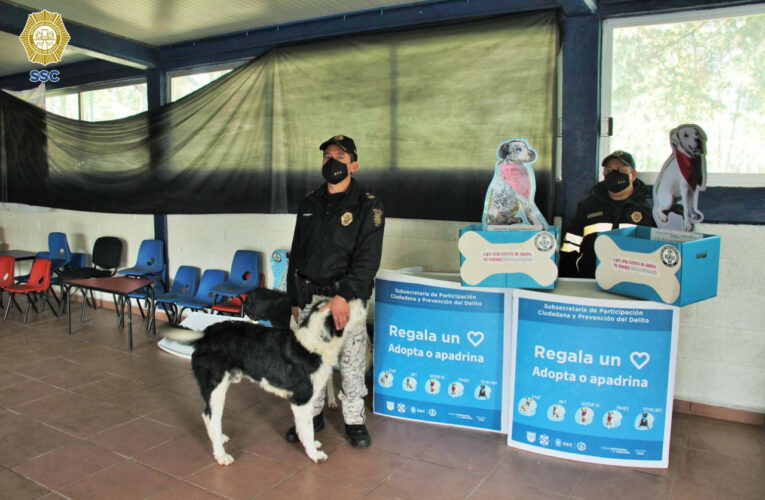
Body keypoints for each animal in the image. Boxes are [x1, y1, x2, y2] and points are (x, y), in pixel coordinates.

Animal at [163, 296, 364, 464]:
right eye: (346, 308)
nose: (362, 300)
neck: (312, 346)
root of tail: (205, 334)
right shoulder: (301, 400)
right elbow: (307, 429)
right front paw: (314, 454)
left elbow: (306, 427)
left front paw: (312, 444)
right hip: (215, 388)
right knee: (212, 417)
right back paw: (221, 455)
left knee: (207, 415)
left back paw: (218, 438)